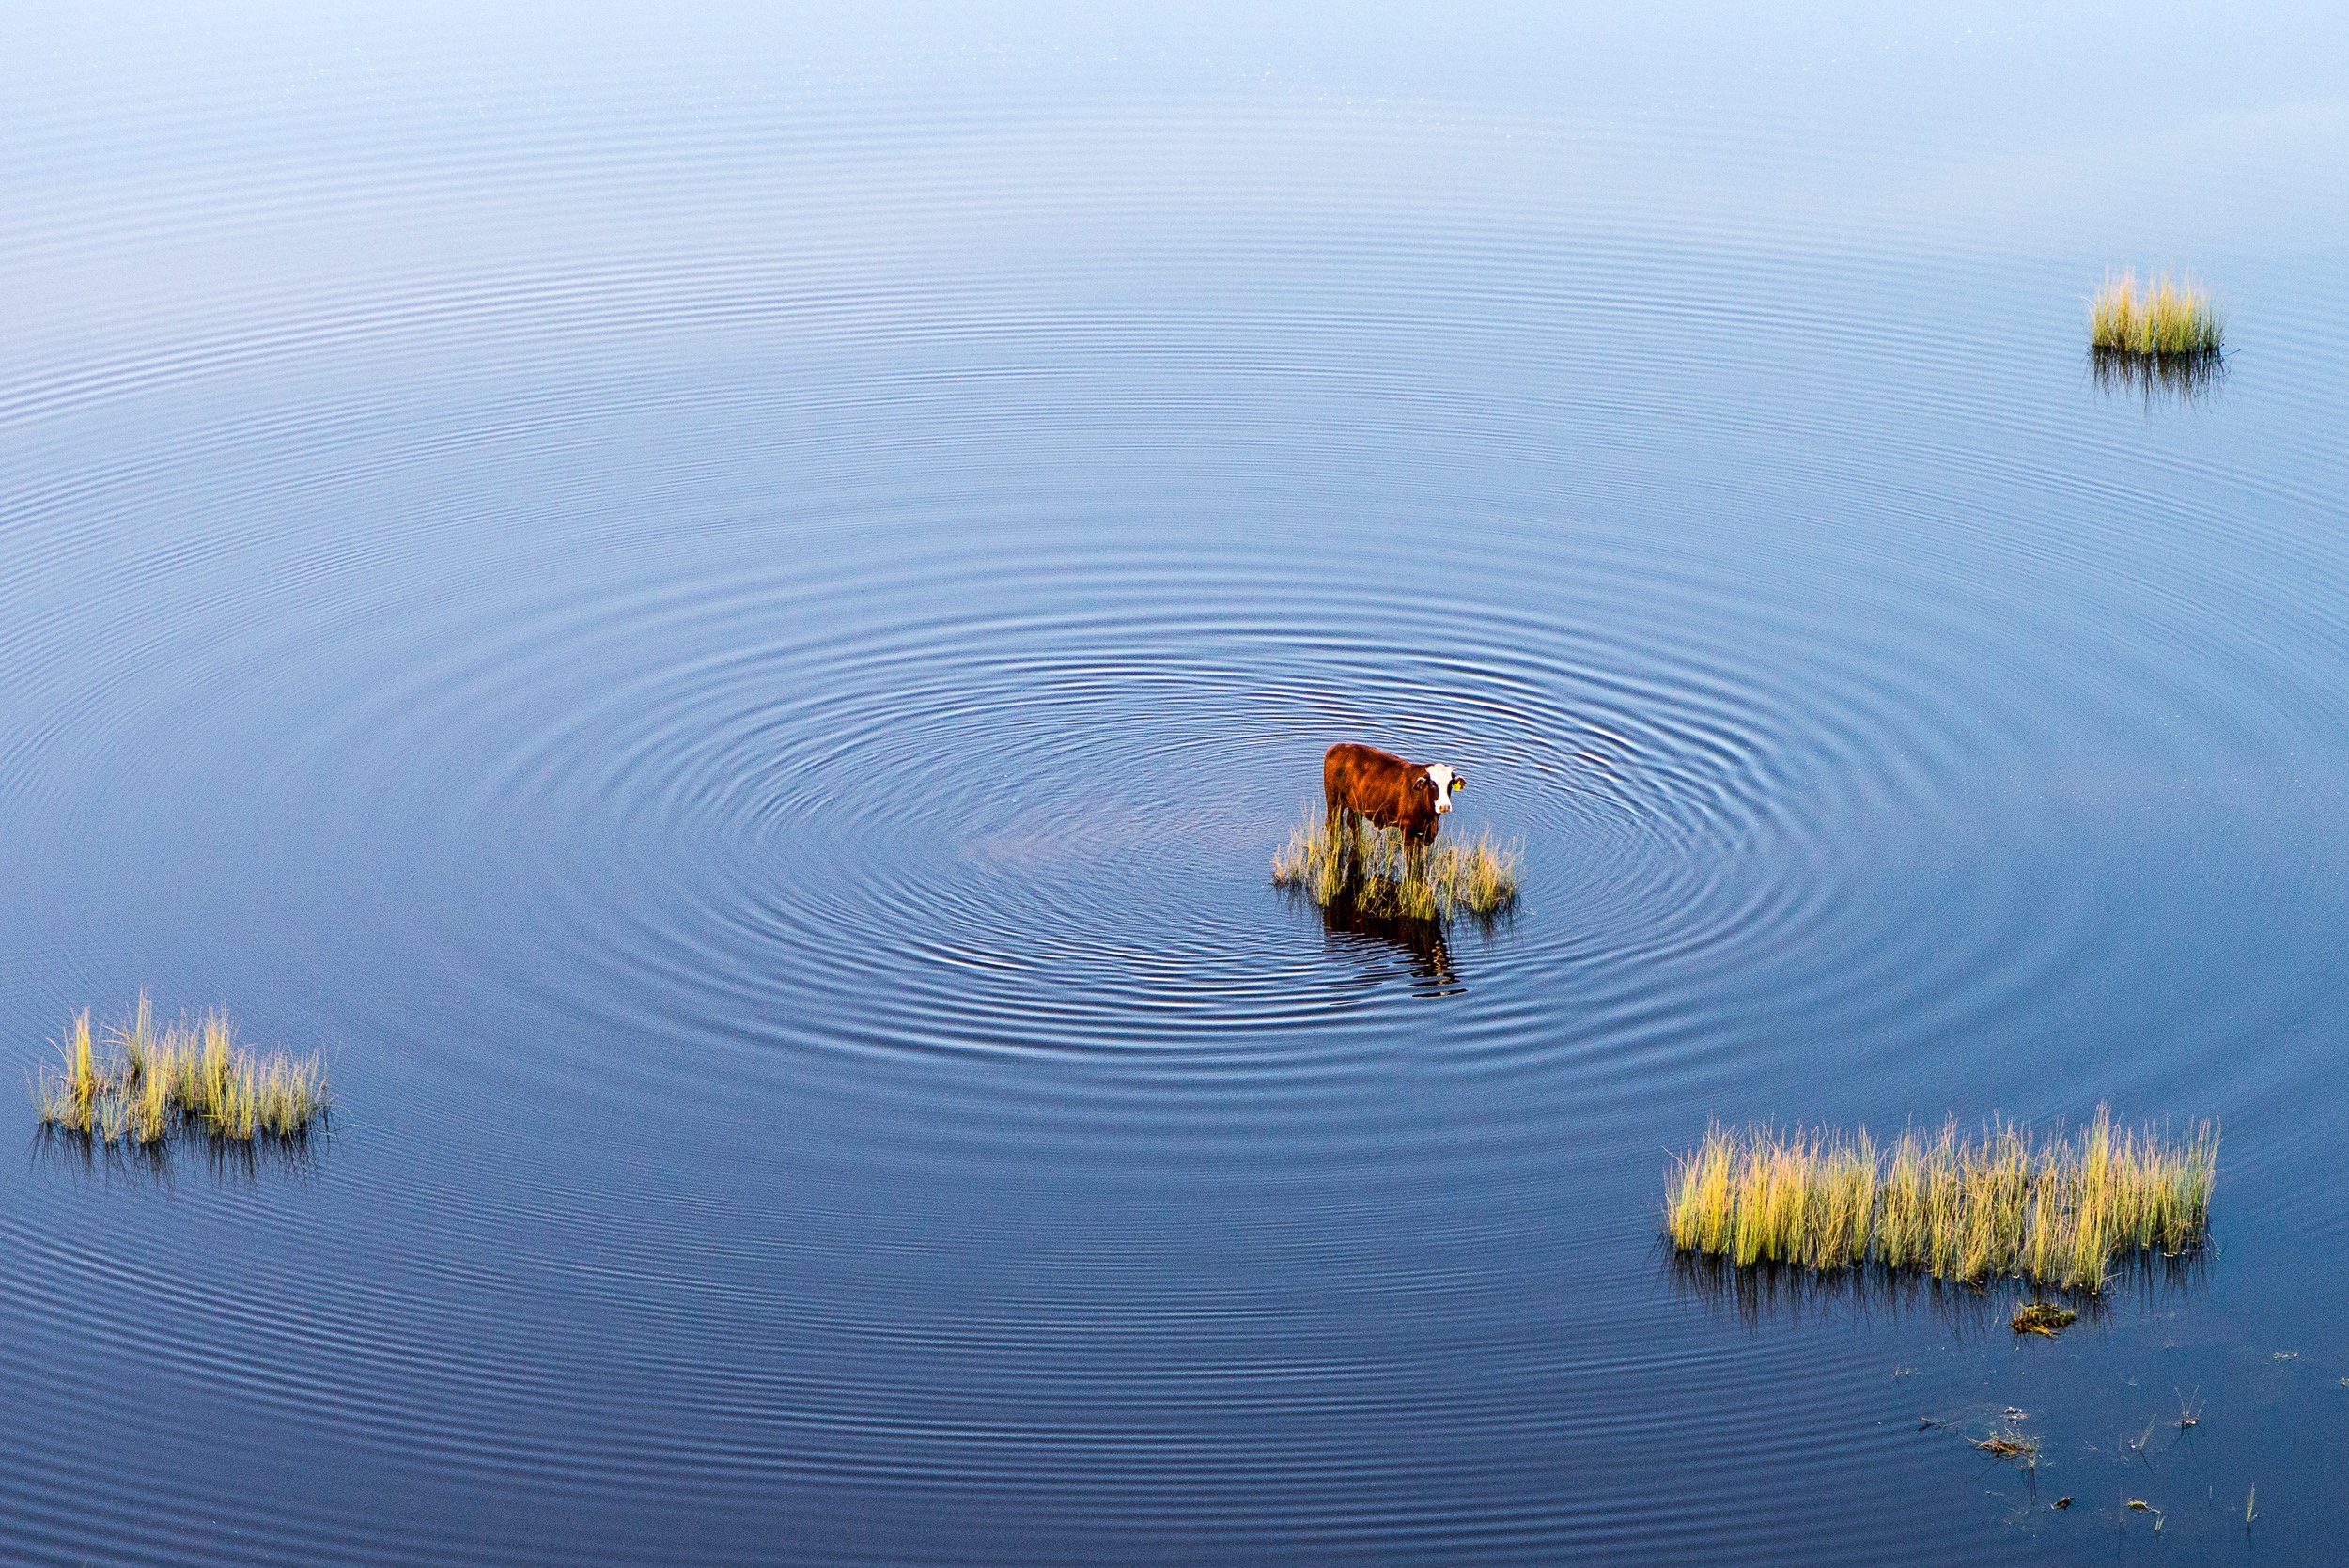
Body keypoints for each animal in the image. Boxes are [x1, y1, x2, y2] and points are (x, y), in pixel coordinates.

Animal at [1322, 742, 1465, 880]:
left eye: (1450, 784)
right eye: (1433, 784)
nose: (1444, 806)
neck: (1430, 819)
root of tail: (1337, 746)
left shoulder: (1421, 831)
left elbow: (1417, 857)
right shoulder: (1407, 828)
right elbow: (1410, 857)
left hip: (1355, 805)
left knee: (1354, 824)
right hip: (1334, 801)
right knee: (1333, 825)